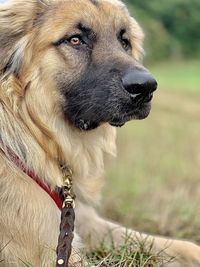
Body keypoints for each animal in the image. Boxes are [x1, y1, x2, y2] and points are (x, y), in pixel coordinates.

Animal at [0, 0, 200, 267]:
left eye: (124, 41)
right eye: (75, 40)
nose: (146, 87)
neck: (36, 131)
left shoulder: (77, 219)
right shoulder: (47, 249)